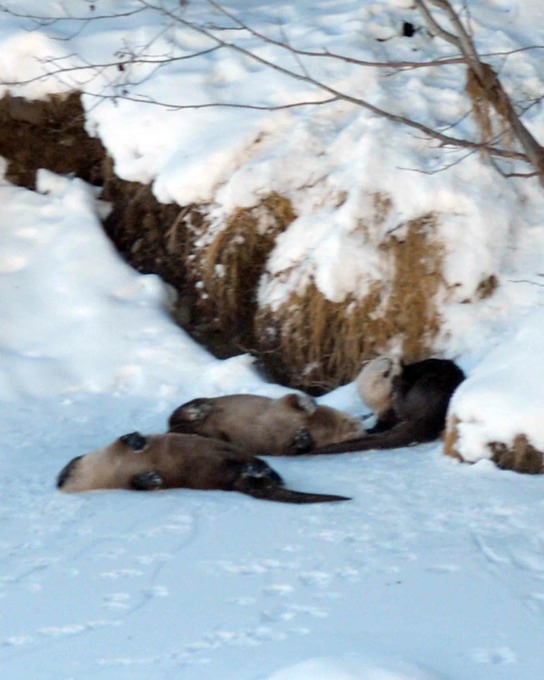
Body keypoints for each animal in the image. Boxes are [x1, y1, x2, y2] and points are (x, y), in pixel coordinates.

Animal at [57, 430, 350, 504]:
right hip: (219, 473)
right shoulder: (122, 480)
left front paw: (137, 440)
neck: (111, 467)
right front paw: (151, 479)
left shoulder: (112, 450)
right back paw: (255, 473)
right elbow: (137, 484)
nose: (60, 479)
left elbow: (124, 438)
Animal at [168, 390, 368, 454]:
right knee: (176, 414)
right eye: (356, 425)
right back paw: (199, 410)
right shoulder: (281, 405)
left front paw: (303, 438)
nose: (360, 429)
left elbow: (292, 449)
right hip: (195, 406)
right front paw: (309, 404)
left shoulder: (280, 447)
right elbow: (293, 397)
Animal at [312, 358, 466, 454]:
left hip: (428, 383)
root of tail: (431, 413)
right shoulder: (384, 415)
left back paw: (398, 384)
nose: (397, 361)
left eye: (388, 360)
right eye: (386, 372)